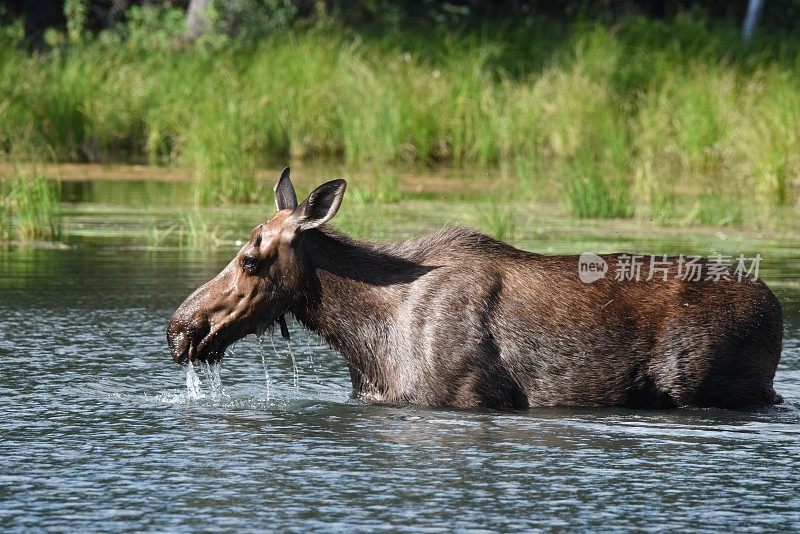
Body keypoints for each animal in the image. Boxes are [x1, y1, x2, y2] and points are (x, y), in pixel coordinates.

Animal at [166, 170, 784, 412]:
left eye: (250, 258)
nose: (180, 328)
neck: (363, 338)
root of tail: (777, 309)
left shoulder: (469, 396)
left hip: (707, 383)